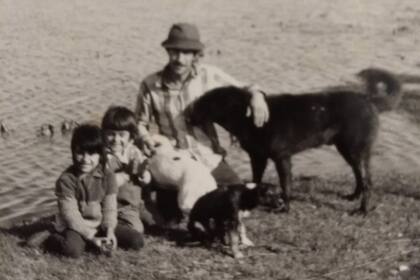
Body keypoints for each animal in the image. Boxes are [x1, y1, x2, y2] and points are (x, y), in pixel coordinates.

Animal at [186, 68, 400, 214]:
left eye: (206, 103)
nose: (187, 115)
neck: (248, 117)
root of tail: (368, 99)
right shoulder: (258, 158)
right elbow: (256, 180)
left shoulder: (282, 157)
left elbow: (285, 184)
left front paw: (285, 207)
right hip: (347, 149)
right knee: (359, 176)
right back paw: (353, 197)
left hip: (356, 149)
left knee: (368, 182)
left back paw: (362, 210)